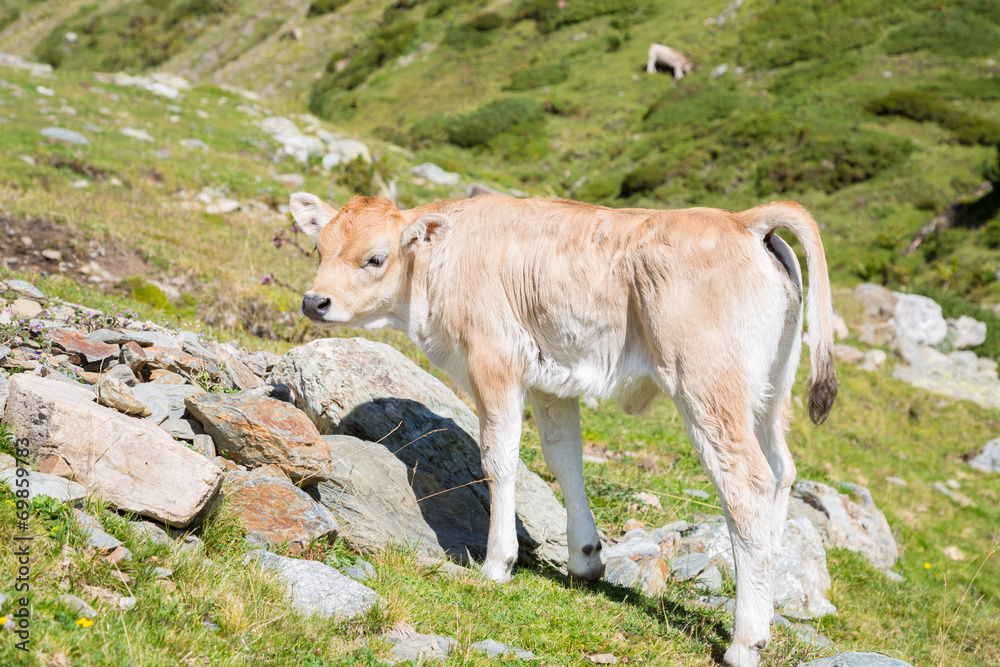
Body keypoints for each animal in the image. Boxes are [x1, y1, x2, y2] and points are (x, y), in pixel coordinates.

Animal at [292, 189, 840, 667]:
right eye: (318, 249)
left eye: (375, 259)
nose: (315, 301)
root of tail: (744, 219)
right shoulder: (552, 378)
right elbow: (563, 456)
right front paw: (586, 558)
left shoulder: (494, 360)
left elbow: (499, 457)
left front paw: (497, 564)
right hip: (768, 393)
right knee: (782, 472)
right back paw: (766, 608)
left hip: (708, 384)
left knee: (745, 482)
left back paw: (746, 640)